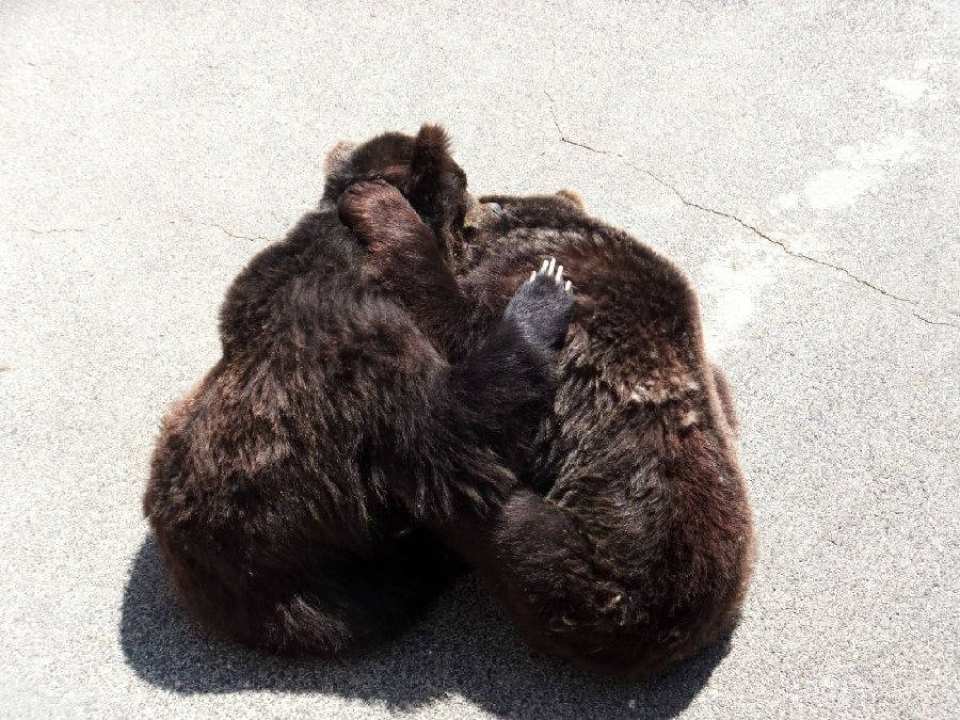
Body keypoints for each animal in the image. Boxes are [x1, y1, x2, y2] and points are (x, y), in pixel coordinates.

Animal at [143, 125, 575, 657]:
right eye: (464, 183)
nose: (490, 209)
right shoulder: (363, 344)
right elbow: (447, 428)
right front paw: (542, 296)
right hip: (315, 586)